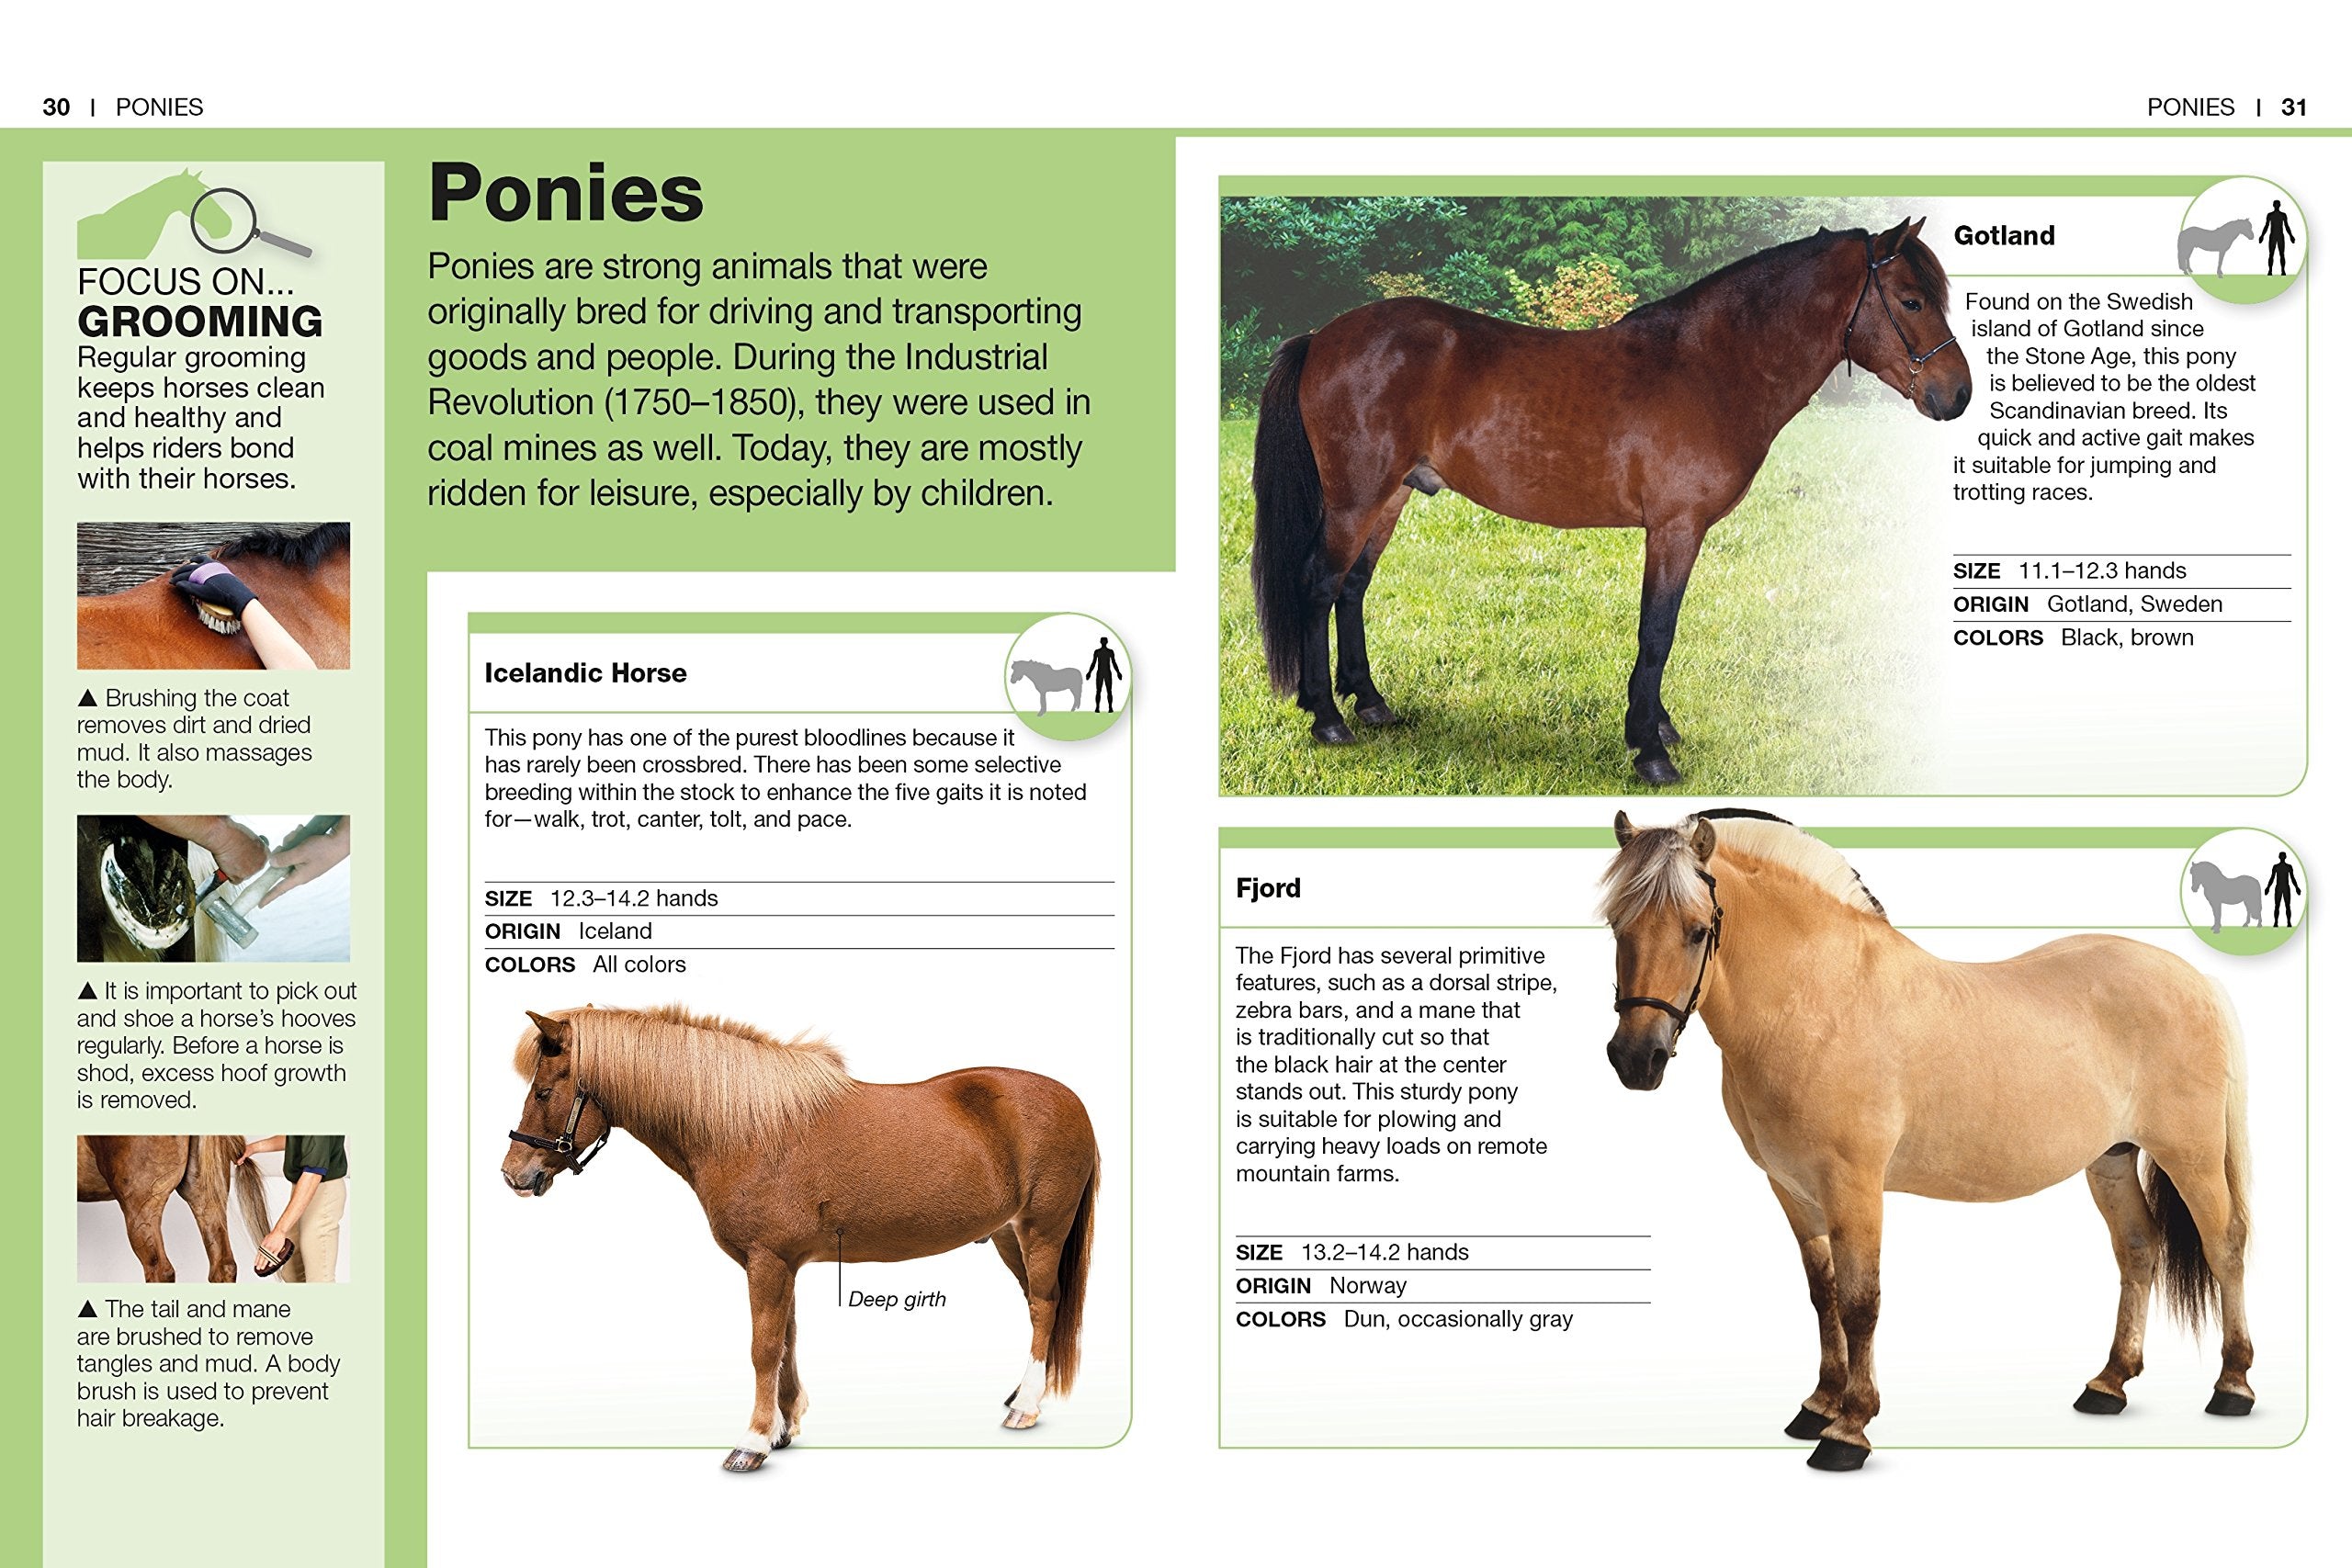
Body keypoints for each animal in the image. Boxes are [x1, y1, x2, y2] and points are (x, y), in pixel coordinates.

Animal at [500, 1005, 1098, 1471]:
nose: (514, 1175)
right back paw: (1021, 1392)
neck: (746, 1128)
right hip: (1007, 1236)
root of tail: (1074, 1102)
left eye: (545, 1090)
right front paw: (783, 1429)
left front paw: (752, 1442)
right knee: (1034, 1305)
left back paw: (1025, 1408)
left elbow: (763, 1348)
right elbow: (786, 1339)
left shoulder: (767, 1261)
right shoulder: (780, 1263)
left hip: (1043, 1230)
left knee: (1045, 1304)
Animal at [1250, 220, 1971, 786]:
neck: (1711, 366)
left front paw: (1655, 725)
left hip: (1391, 497)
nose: (1958, 394)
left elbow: (1660, 634)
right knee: (1320, 584)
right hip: (1356, 499)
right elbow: (1657, 631)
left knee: (1352, 588)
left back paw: (1370, 702)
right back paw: (1327, 718)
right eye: (1911, 299)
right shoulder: (1675, 528)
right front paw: (1650, 751)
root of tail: (1321, 336)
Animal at [1598, 811, 2254, 1469]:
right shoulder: (1794, 1190)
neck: (1818, 998)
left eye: (1697, 930)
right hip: (2112, 1159)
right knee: (2138, 1248)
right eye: (1616, 926)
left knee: (2225, 1245)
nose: (1635, 1059)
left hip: (2191, 1156)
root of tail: (2197, 980)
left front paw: (1849, 1429)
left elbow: (1861, 1302)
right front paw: (1819, 1405)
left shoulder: (1854, 1185)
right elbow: (1824, 1295)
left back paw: (2233, 1387)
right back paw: (2109, 1384)